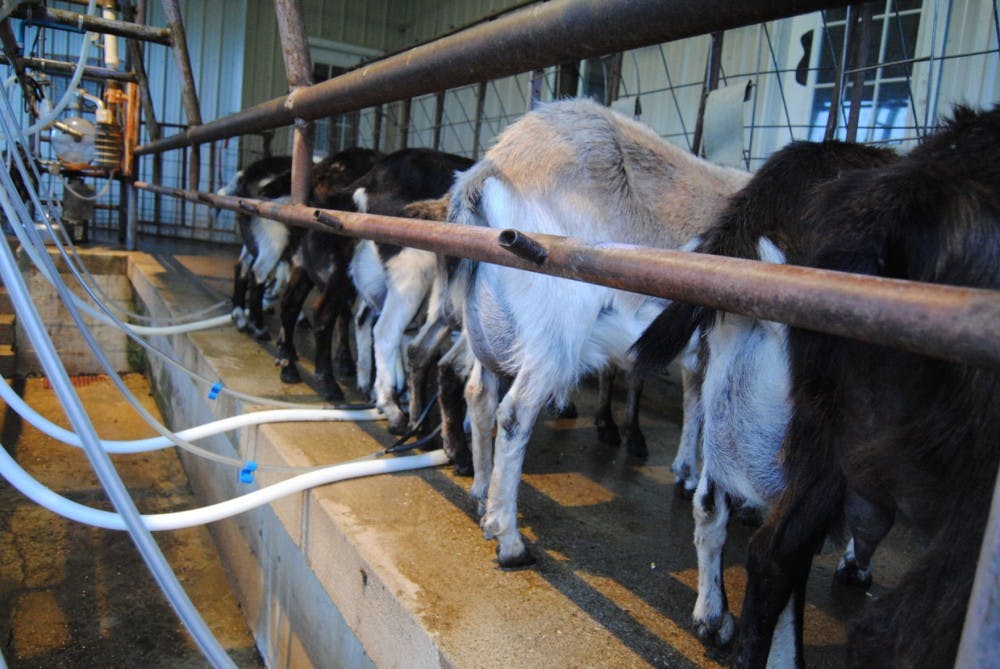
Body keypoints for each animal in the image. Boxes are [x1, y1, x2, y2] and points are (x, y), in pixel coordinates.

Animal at [447, 98, 750, 567]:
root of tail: (496, 163)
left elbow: (694, 402)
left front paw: (686, 470)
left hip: (488, 329)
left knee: (479, 395)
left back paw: (480, 494)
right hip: (557, 328)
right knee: (514, 414)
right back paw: (509, 540)